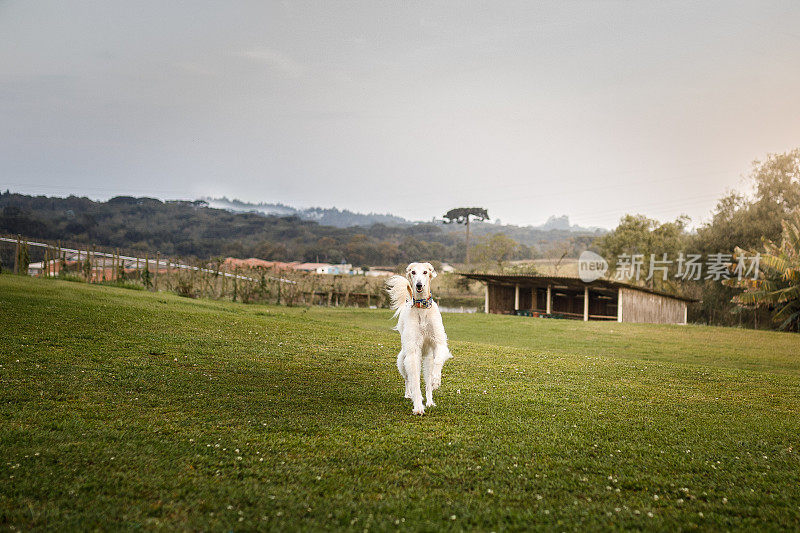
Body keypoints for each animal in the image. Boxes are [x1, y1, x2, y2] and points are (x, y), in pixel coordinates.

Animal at [386, 262, 450, 416]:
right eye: (413, 272)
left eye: (425, 272)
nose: (419, 285)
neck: (422, 309)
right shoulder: (413, 352)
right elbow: (415, 381)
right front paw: (418, 407)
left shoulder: (439, 344)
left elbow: (438, 361)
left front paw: (436, 380)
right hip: (403, 359)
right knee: (408, 379)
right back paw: (409, 394)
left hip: (427, 359)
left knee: (427, 383)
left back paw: (430, 400)